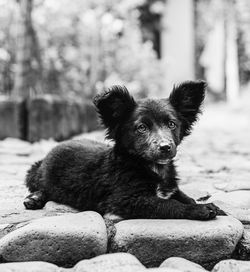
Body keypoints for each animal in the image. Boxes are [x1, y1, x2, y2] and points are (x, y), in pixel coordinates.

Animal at [23, 79, 223, 220]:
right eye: (141, 127)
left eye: (172, 124)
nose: (165, 147)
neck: (153, 167)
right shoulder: (126, 199)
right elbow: (168, 205)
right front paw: (200, 208)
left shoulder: (171, 188)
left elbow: (183, 197)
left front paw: (212, 206)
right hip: (38, 175)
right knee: (41, 187)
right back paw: (34, 198)